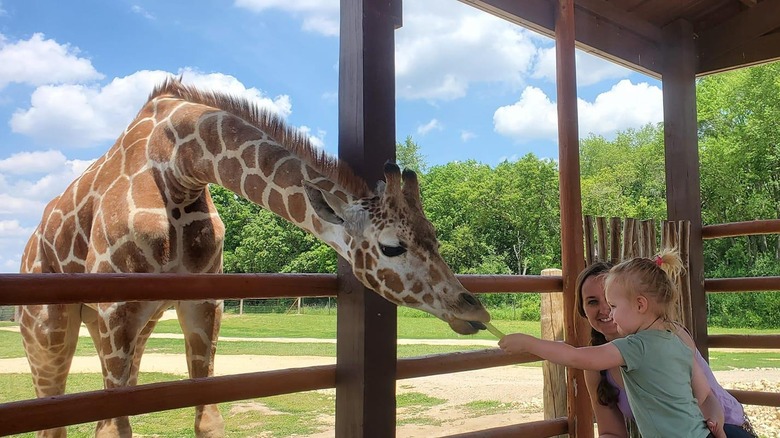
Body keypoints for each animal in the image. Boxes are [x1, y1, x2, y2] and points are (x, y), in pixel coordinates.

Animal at [18, 79, 490, 438]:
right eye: (392, 246)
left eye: (436, 237)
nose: (475, 311)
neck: (179, 165)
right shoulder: (113, 308)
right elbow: (112, 430)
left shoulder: (202, 303)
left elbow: (208, 419)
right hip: (49, 334)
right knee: (51, 420)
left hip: (137, 326)